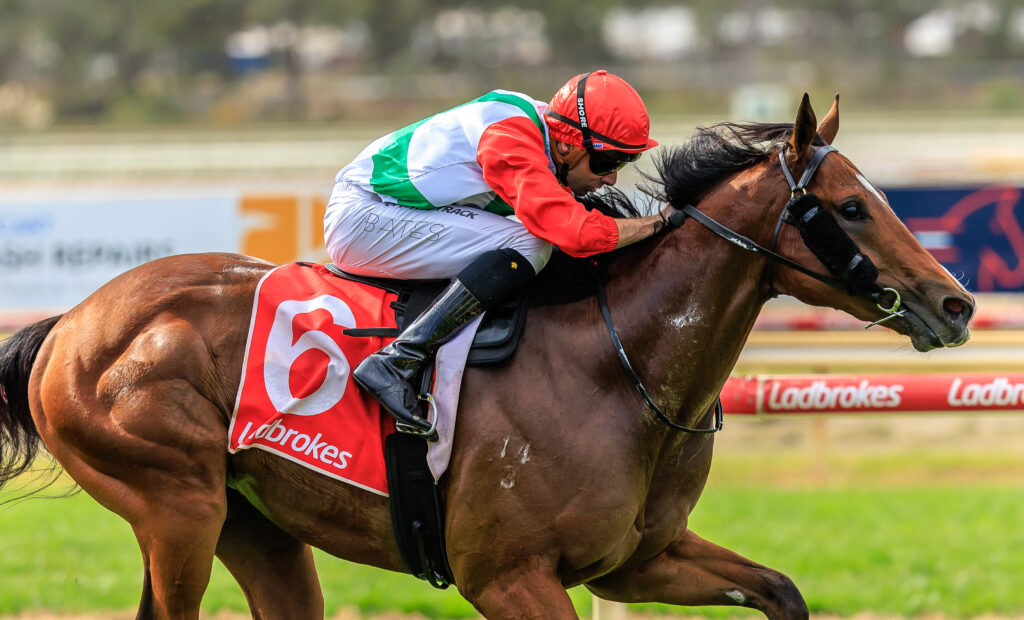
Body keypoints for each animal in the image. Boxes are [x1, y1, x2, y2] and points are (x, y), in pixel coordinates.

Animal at [0, 95, 974, 619]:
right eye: (850, 207)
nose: (956, 303)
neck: (617, 367)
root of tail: (73, 321)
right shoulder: (507, 578)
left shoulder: (638, 558)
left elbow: (779, 589)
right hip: (177, 506)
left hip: (256, 524)